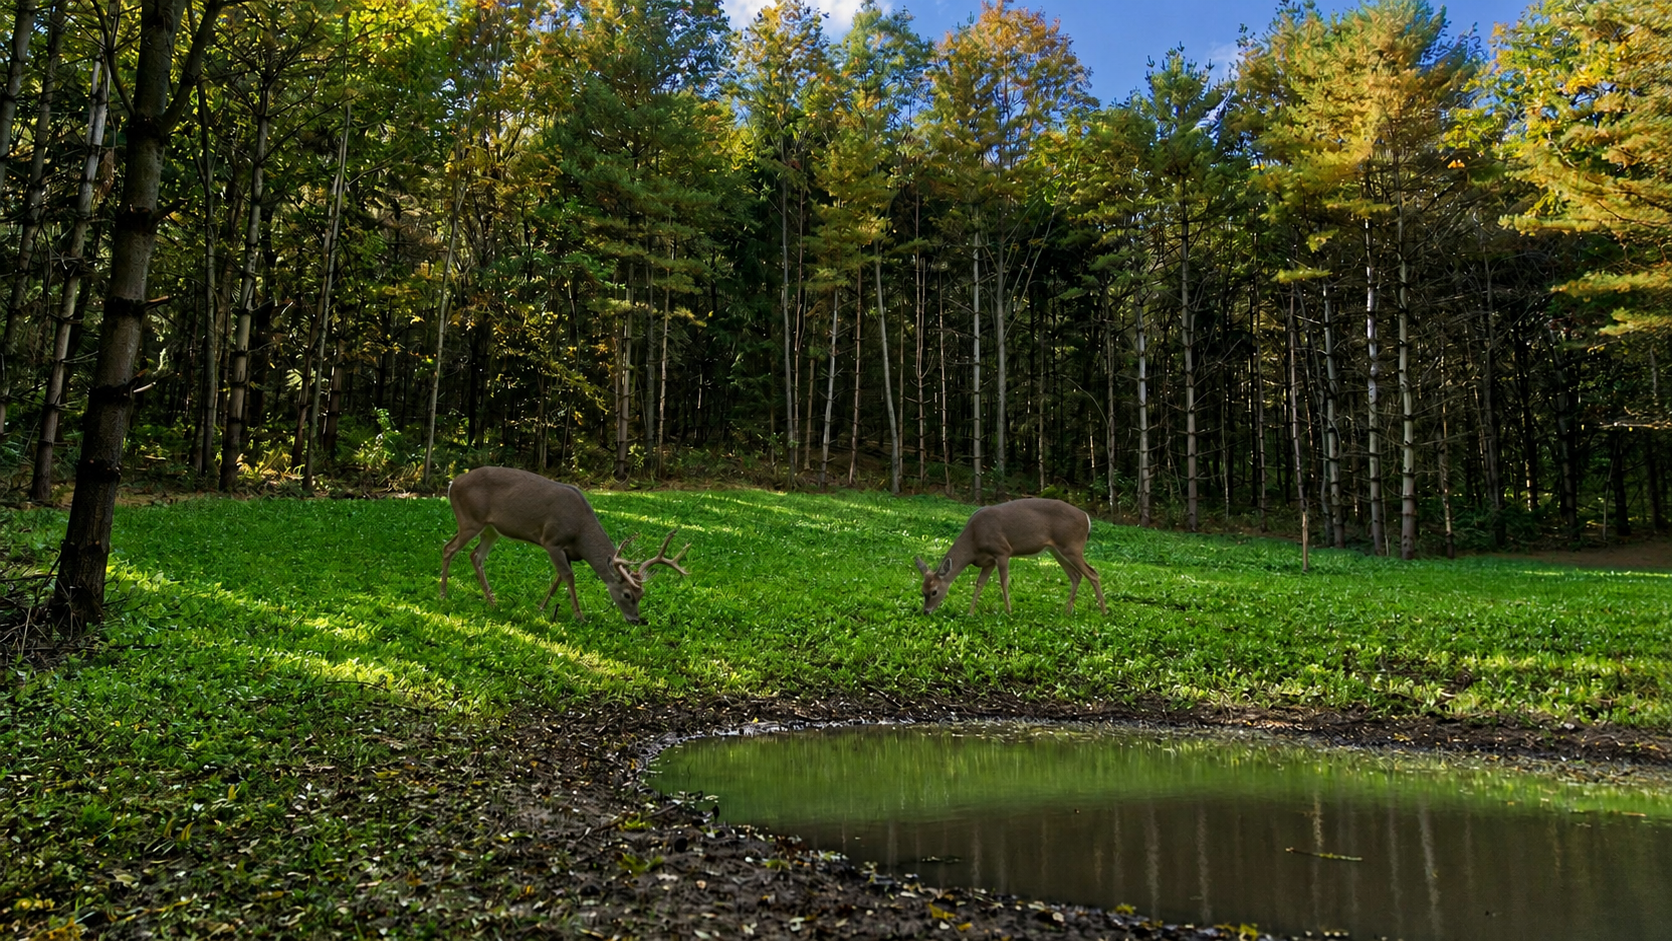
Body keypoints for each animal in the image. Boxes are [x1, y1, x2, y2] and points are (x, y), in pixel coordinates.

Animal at [440, 466, 688, 625]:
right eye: (628, 595)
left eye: (642, 594)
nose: (636, 620)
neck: (580, 533)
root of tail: (452, 484)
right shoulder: (552, 540)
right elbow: (569, 576)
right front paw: (579, 616)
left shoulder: (567, 550)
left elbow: (559, 578)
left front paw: (541, 608)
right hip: (470, 519)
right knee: (448, 549)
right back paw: (443, 595)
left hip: (490, 529)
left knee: (475, 556)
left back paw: (492, 602)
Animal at [914, 498, 1106, 616]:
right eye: (922, 591)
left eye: (934, 591)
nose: (926, 612)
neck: (974, 540)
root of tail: (1087, 518)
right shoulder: (988, 561)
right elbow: (979, 584)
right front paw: (970, 613)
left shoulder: (1002, 550)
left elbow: (1003, 582)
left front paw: (1008, 611)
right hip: (1057, 550)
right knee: (1076, 575)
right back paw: (1067, 612)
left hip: (1072, 546)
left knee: (1093, 573)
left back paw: (1104, 611)